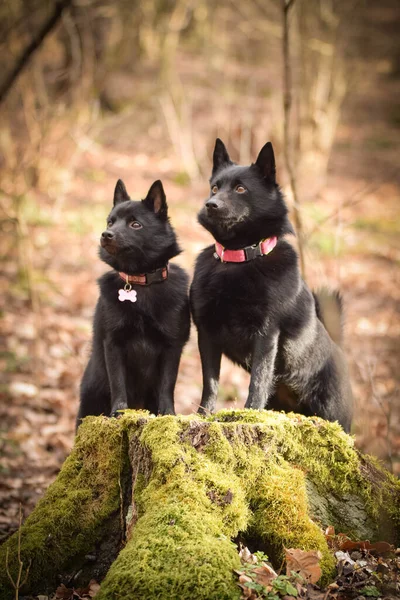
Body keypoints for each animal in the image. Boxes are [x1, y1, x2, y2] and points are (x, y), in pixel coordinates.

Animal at [78, 178, 192, 426]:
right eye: (110, 221)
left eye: (135, 224)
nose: (106, 234)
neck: (140, 282)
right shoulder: (113, 343)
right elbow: (118, 383)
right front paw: (118, 413)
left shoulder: (172, 345)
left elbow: (167, 385)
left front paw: (167, 413)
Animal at [191, 139, 354, 434]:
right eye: (215, 188)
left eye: (241, 188)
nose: (210, 204)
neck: (238, 259)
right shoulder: (206, 333)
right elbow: (210, 383)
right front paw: (203, 415)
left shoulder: (266, 335)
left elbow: (258, 380)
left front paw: (249, 414)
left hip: (336, 416)